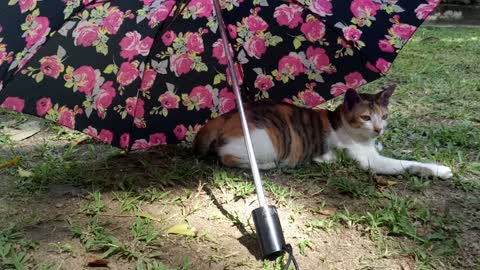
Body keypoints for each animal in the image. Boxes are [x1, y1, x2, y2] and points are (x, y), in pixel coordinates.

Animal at [192, 85, 454, 179]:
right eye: (366, 117)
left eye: (385, 116)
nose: (379, 130)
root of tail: (223, 117)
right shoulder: (372, 161)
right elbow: (407, 164)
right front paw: (439, 169)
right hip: (267, 141)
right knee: (227, 157)